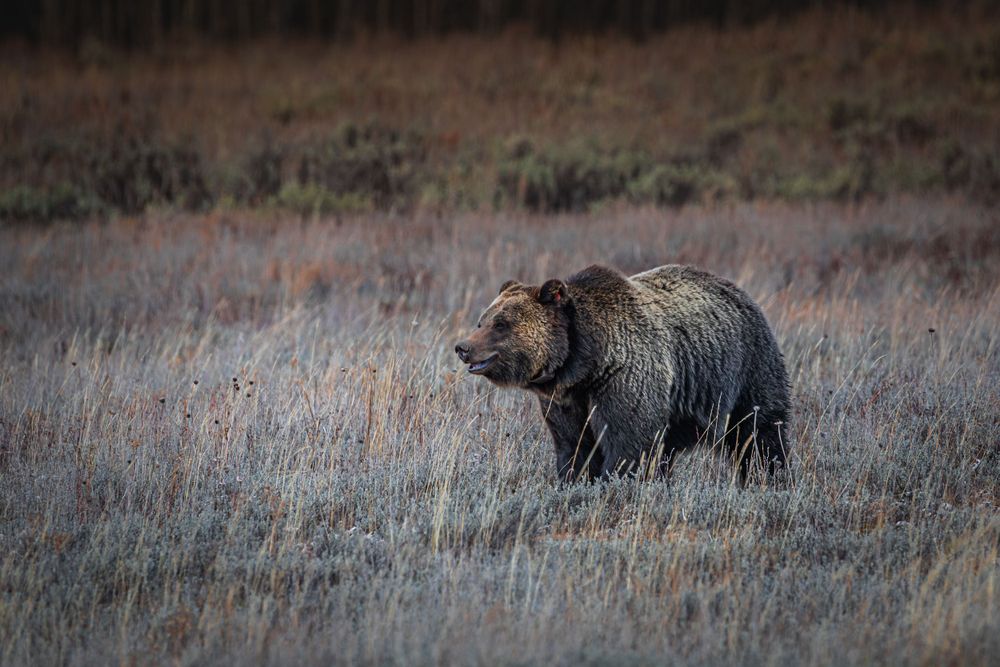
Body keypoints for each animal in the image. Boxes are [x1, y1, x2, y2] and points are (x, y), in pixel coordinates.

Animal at [454, 264, 790, 483]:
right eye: (482, 320)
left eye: (501, 324)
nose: (463, 347)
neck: (584, 363)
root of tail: (741, 292)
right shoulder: (566, 400)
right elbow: (575, 446)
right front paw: (574, 479)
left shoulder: (624, 378)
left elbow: (629, 444)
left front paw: (615, 483)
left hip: (746, 368)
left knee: (761, 433)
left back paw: (768, 478)